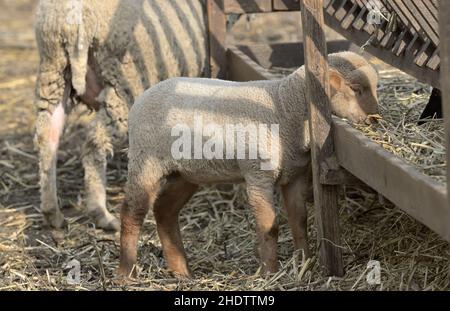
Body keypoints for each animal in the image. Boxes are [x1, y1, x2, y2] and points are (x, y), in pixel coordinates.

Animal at [33, 0, 209, 232]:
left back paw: (52, 212)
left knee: (47, 137)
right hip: (126, 83)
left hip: (54, 71)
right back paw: (102, 214)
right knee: (94, 143)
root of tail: (74, 17)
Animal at [118, 51, 378, 278]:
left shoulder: (293, 175)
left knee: (164, 210)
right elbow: (269, 226)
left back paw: (181, 272)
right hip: (146, 159)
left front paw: (304, 264)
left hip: (184, 172)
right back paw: (126, 274)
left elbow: (299, 221)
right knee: (132, 212)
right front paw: (270, 273)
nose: (375, 119)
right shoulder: (258, 174)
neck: (284, 106)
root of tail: (141, 98)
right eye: (356, 89)